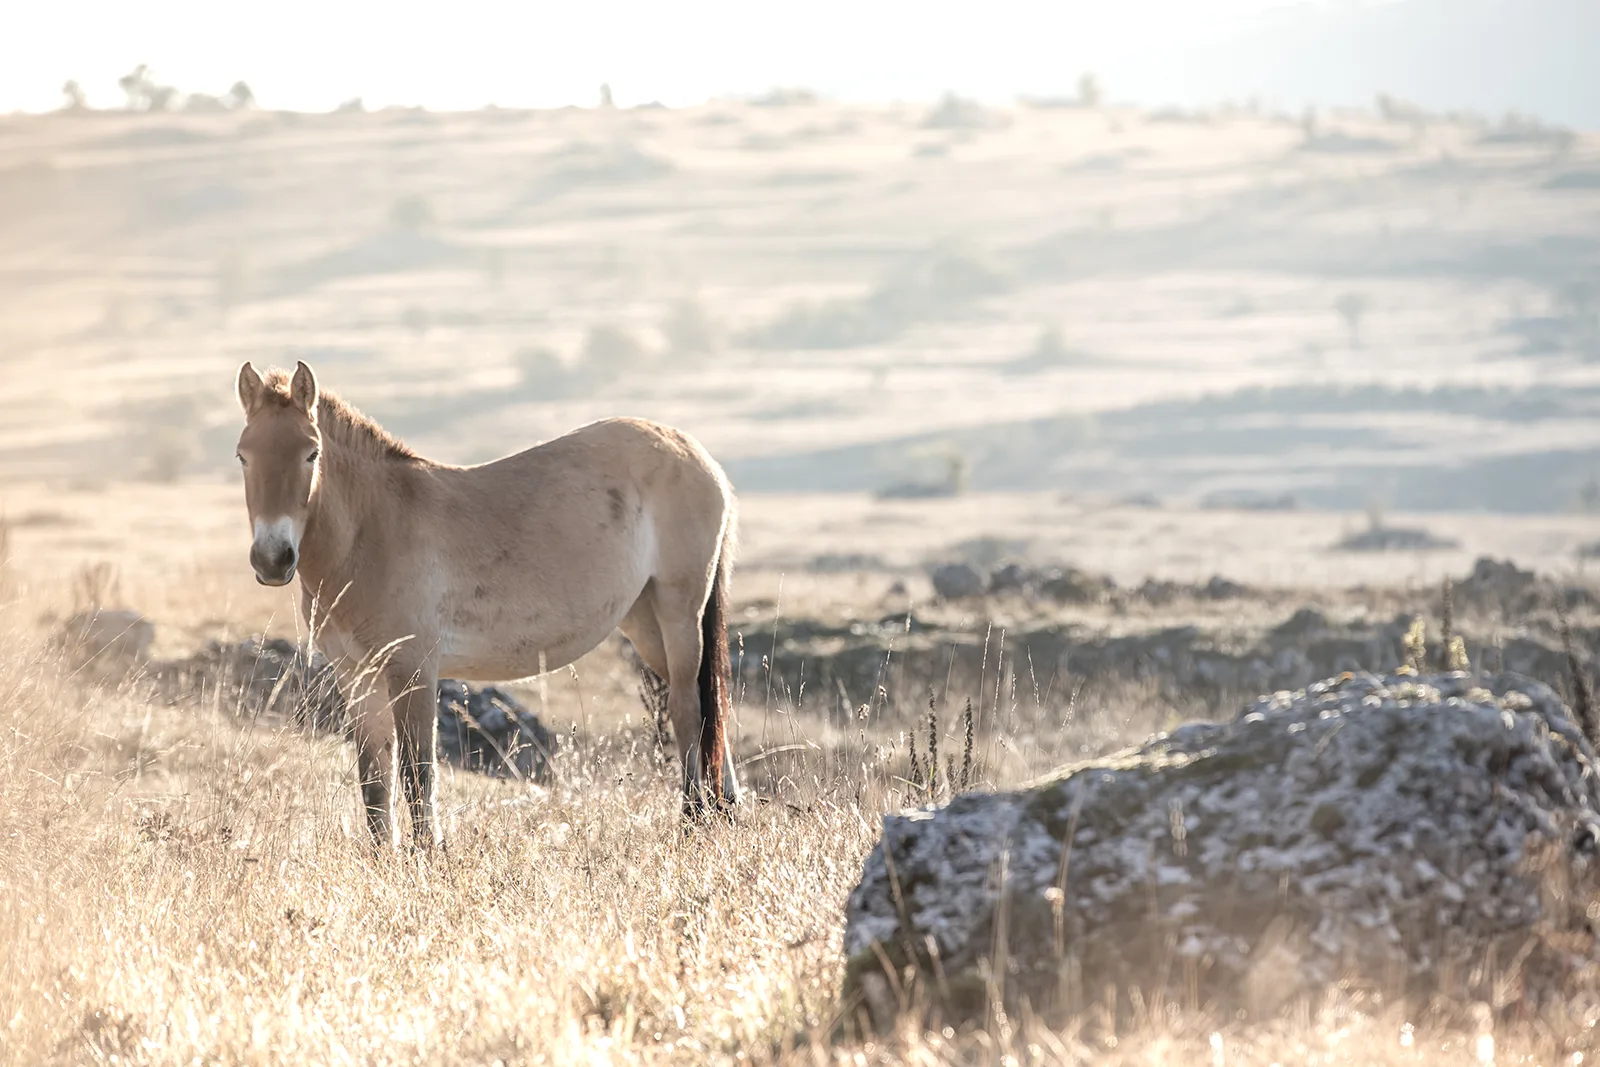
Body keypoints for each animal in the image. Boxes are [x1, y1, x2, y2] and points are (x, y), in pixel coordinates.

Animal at [234, 360, 740, 848]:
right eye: (243, 455)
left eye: (311, 453)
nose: (273, 559)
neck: (371, 531)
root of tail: (698, 455)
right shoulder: (356, 675)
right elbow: (375, 781)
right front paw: (384, 859)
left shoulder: (413, 668)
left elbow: (417, 774)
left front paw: (428, 855)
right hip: (644, 619)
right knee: (704, 705)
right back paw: (727, 812)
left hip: (678, 610)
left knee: (688, 707)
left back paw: (694, 822)